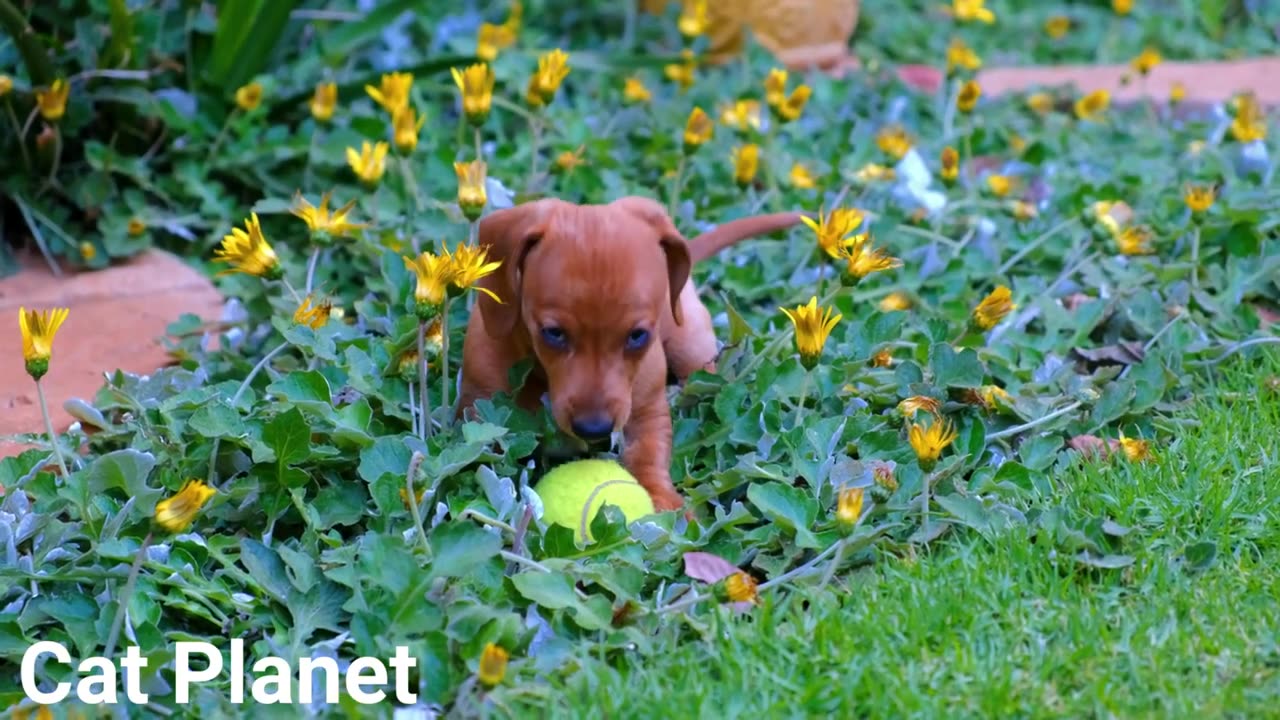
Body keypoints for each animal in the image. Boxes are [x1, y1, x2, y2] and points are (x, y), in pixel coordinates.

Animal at [460, 196, 798, 507]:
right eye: (553, 333)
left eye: (637, 336)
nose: (593, 429)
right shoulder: (480, 410)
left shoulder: (648, 410)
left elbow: (649, 453)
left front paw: (664, 502)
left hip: (691, 344)